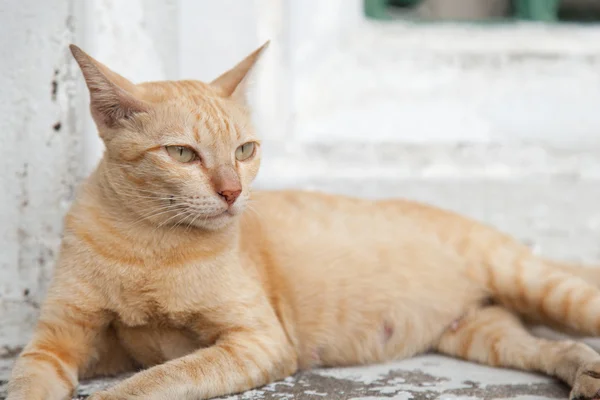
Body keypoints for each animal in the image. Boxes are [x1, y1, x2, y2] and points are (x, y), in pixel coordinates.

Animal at [7, 43, 600, 400]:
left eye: (245, 150)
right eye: (182, 154)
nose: (232, 191)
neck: (145, 245)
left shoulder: (260, 340)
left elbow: (155, 379)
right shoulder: (58, 342)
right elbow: (29, 385)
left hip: (541, 287)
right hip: (483, 333)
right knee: (553, 348)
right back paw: (586, 375)